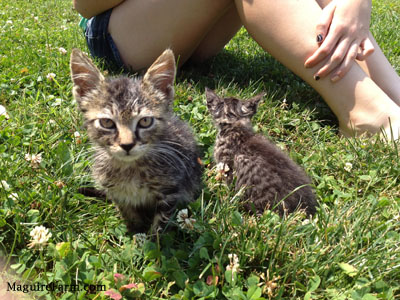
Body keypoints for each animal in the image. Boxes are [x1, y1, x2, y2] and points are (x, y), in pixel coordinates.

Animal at [69, 48, 203, 232]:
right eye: (107, 123)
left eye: (145, 121)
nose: (127, 145)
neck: (130, 169)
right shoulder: (116, 192)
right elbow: (128, 213)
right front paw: (135, 230)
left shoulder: (170, 191)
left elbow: (160, 224)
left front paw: (153, 237)